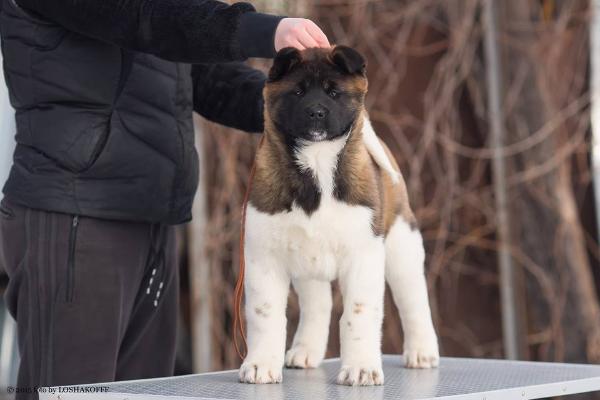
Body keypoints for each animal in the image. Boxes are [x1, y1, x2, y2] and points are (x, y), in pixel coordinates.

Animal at [239, 45, 440, 386]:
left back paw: (422, 352)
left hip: (401, 248)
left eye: (334, 92)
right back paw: (306, 351)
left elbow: (358, 314)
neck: (317, 164)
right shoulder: (264, 256)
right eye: (297, 92)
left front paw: (360, 368)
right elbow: (266, 313)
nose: (317, 113)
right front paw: (260, 364)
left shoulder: (363, 256)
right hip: (306, 264)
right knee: (317, 305)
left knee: (414, 300)